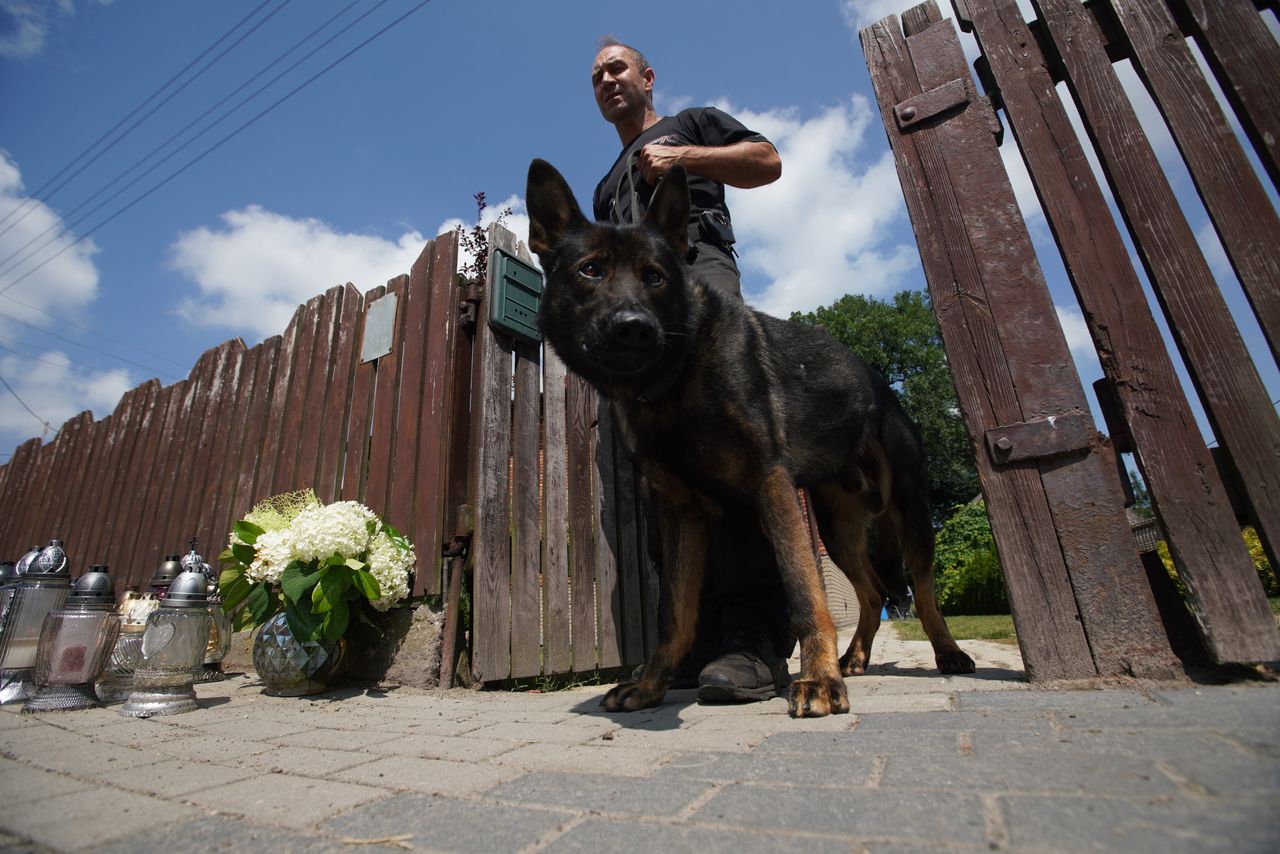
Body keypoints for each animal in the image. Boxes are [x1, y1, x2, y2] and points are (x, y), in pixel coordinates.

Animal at [524, 158, 972, 717]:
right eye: (590, 270)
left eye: (655, 277)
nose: (635, 327)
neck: (679, 374)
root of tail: (883, 388)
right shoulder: (682, 514)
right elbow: (675, 613)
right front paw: (651, 684)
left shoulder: (770, 485)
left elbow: (803, 595)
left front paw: (817, 680)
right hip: (836, 530)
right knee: (870, 593)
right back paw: (854, 658)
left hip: (909, 513)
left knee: (924, 589)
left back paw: (946, 652)